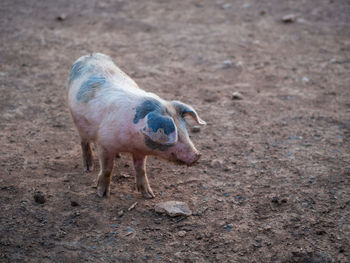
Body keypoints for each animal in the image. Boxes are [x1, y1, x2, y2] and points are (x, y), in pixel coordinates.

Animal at [66, 52, 205, 199]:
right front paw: (102, 195)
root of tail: (89, 55)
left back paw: (118, 156)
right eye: (176, 136)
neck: (131, 144)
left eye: (185, 131)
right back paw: (88, 168)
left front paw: (149, 195)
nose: (197, 155)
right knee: (84, 142)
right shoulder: (104, 144)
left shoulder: (140, 151)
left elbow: (141, 169)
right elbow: (107, 168)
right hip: (77, 121)